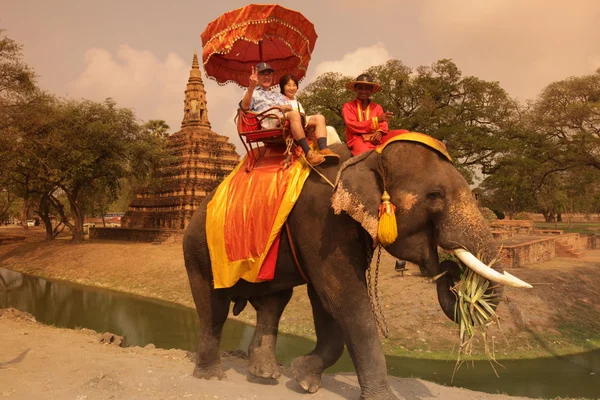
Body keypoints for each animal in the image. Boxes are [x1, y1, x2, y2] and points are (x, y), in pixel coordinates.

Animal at [183, 138, 528, 400]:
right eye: (435, 195)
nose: (450, 270)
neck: (368, 156)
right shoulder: (323, 220)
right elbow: (342, 297)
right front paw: (379, 398)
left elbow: (326, 301)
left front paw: (303, 377)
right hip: (199, 252)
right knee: (213, 308)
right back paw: (211, 377)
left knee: (273, 303)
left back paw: (264, 374)